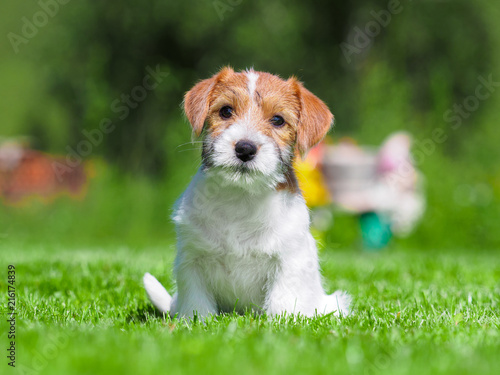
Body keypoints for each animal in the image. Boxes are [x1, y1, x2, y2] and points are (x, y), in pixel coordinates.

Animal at [143, 67, 350, 320]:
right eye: (226, 111)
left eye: (278, 120)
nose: (245, 148)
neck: (241, 196)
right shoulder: (192, 260)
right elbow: (196, 302)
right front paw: (196, 321)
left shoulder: (289, 261)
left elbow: (282, 300)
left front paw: (281, 323)